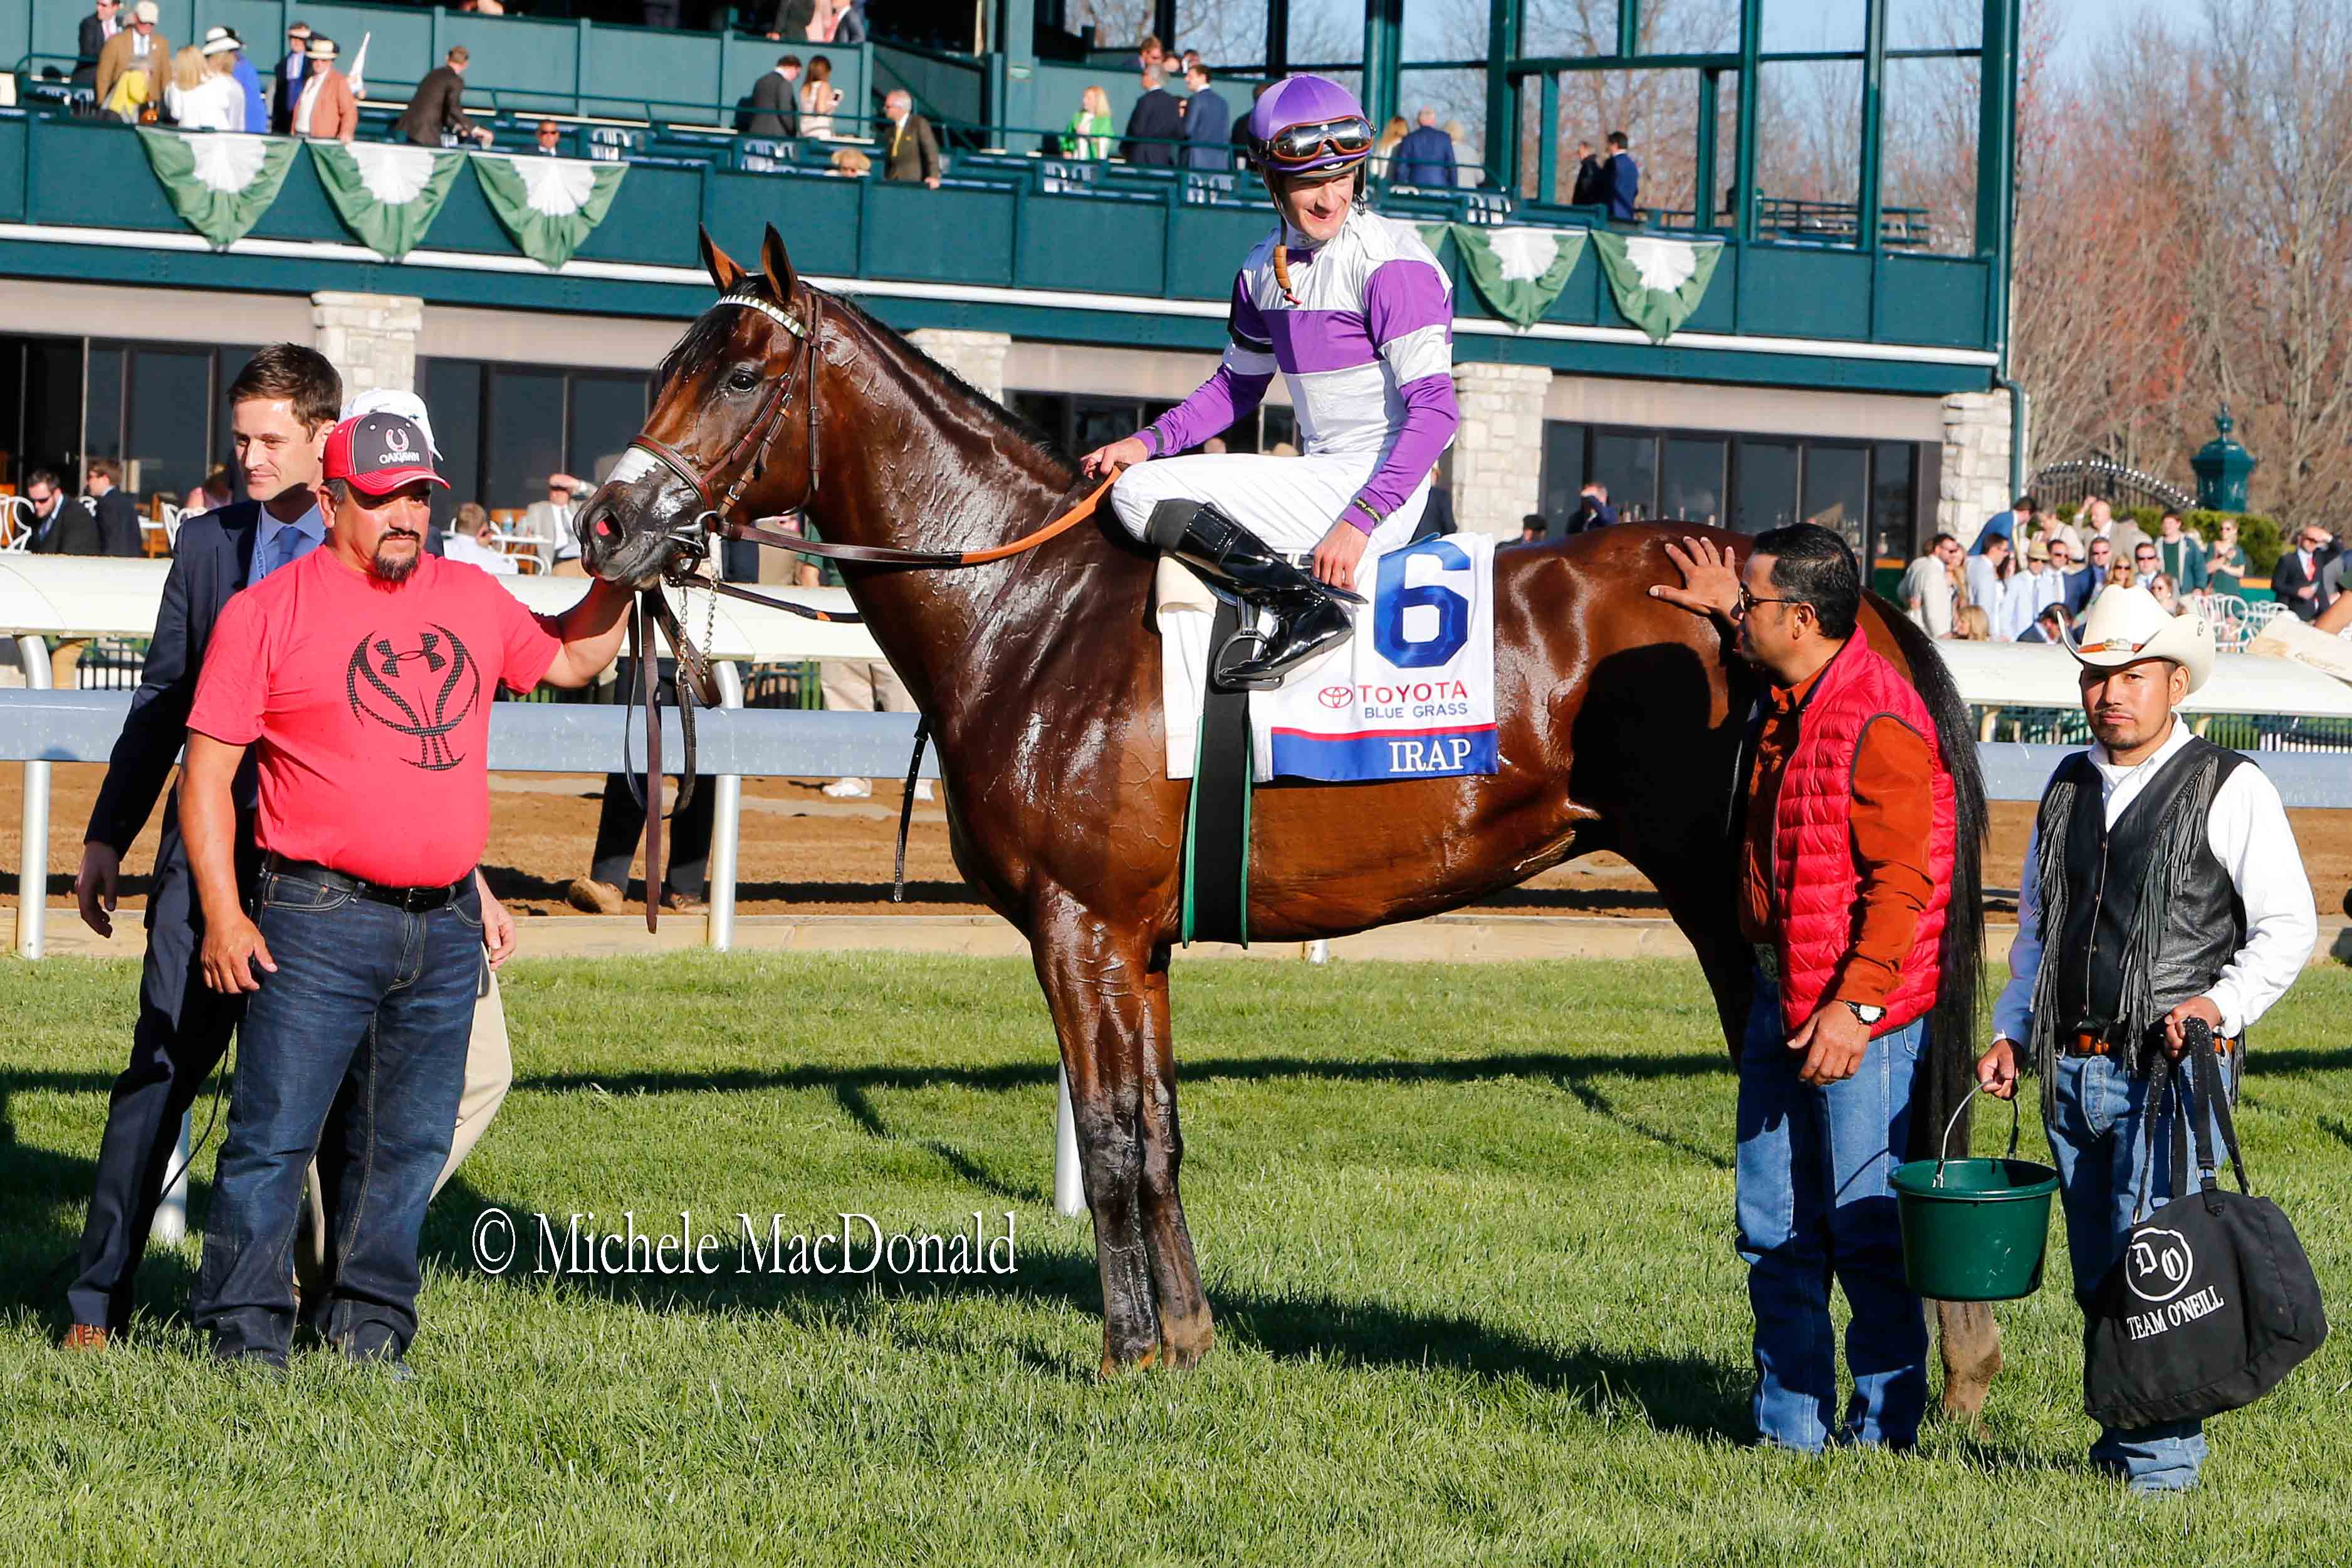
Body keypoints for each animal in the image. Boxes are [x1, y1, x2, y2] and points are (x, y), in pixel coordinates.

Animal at [578, 226, 1994, 1419]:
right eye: (663, 368)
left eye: (744, 373)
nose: (605, 521)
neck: (1034, 616)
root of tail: (1841, 591)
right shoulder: (1137, 942)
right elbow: (1156, 1130)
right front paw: (1186, 1340)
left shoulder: (1077, 928)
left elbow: (1107, 1136)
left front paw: (1123, 1353)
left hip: (1734, 896)